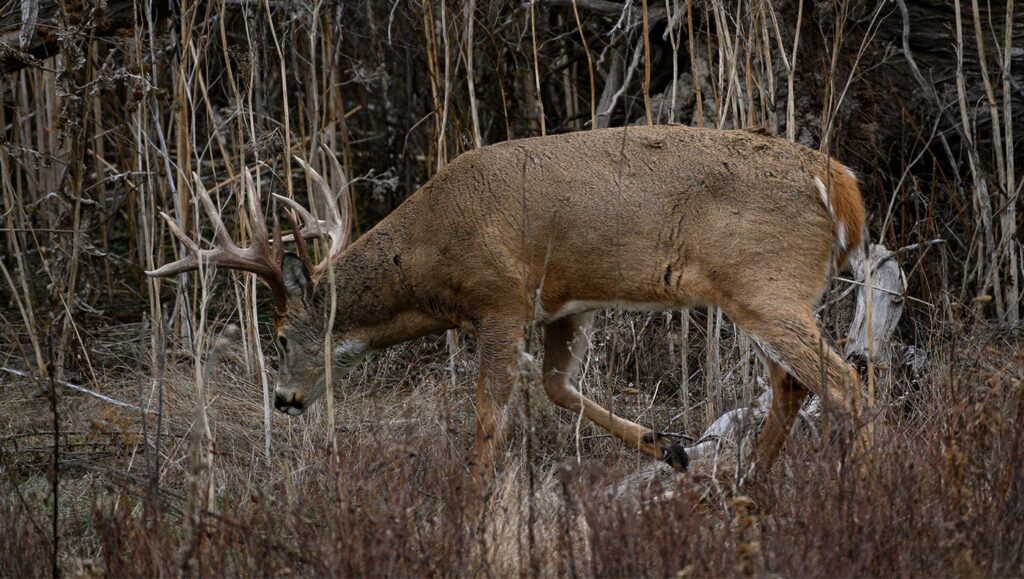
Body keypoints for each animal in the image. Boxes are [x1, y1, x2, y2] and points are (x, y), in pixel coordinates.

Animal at [147, 124, 868, 481]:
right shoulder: (564, 304)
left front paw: (472, 508)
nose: (285, 400)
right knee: (793, 382)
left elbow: (489, 419)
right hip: (761, 291)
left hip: (764, 282)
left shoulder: (498, 301)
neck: (430, 251)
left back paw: (854, 493)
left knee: (843, 382)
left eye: (279, 337)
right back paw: (751, 487)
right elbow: (556, 385)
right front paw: (669, 447)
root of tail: (843, 184)